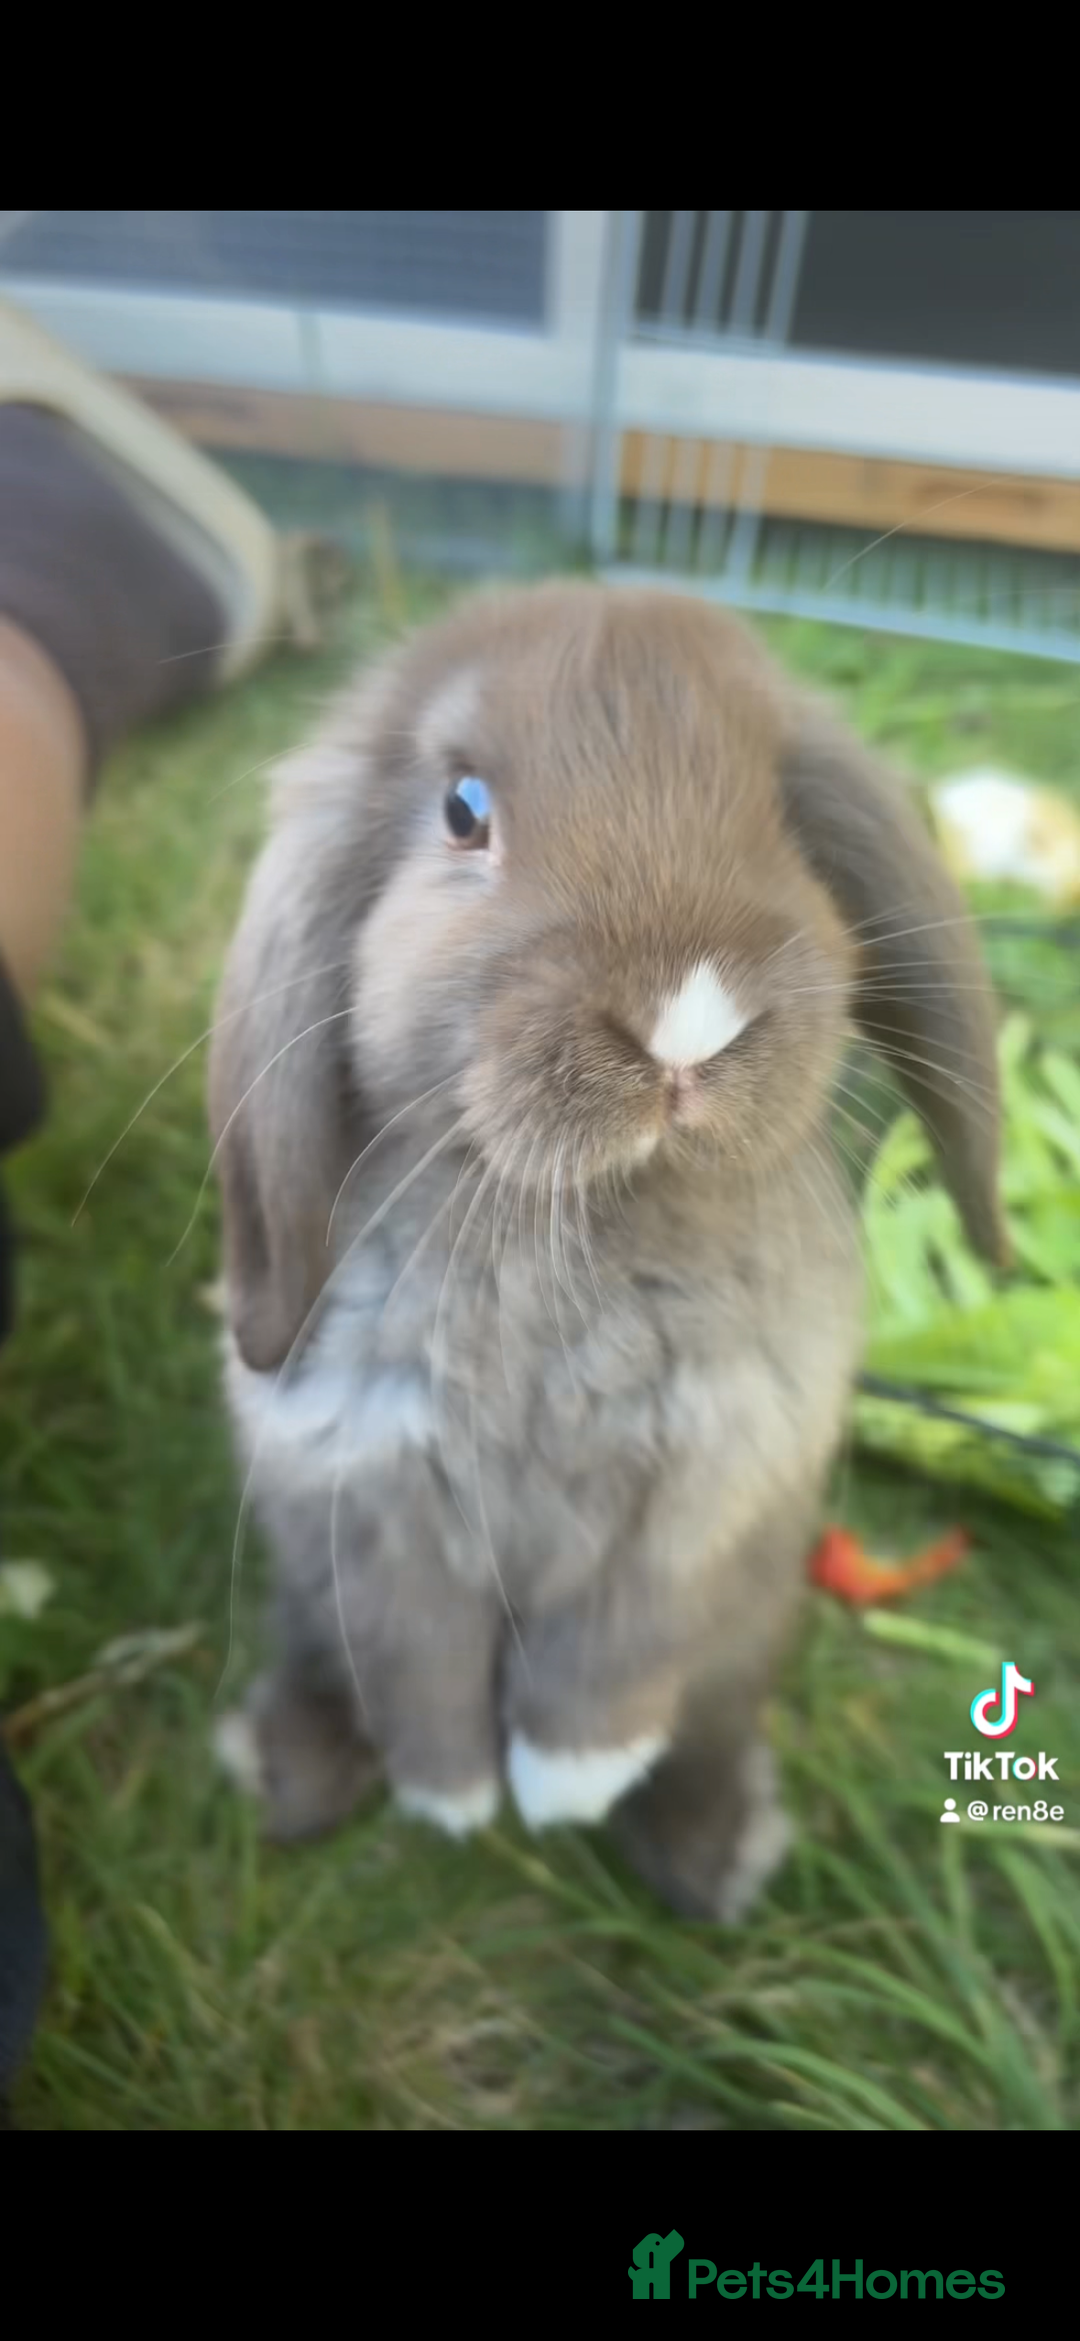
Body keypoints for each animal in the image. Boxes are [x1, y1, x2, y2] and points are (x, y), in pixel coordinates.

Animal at [209, 582, 1004, 1921]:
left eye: (780, 809)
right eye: (462, 809)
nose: (687, 1017)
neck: (579, 1226)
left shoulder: (695, 1505)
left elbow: (609, 1668)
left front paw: (567, 1788)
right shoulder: (379, 1512)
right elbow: (419, 1670)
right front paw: (453, 1798)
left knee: (711, 1720)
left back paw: (711, 1860)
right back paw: (290, 1777)